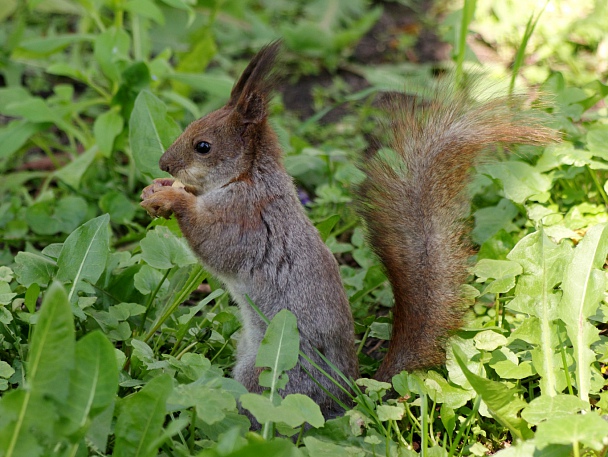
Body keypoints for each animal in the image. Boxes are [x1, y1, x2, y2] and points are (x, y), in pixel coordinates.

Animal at [140, 42, 560, 416]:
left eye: (203, 145)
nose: (163, 163)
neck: (246, 177)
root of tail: (347, 400)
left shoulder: (247, 220)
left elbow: (215, 245)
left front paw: (174, 199)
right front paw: (157, 190)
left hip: (271, 376)